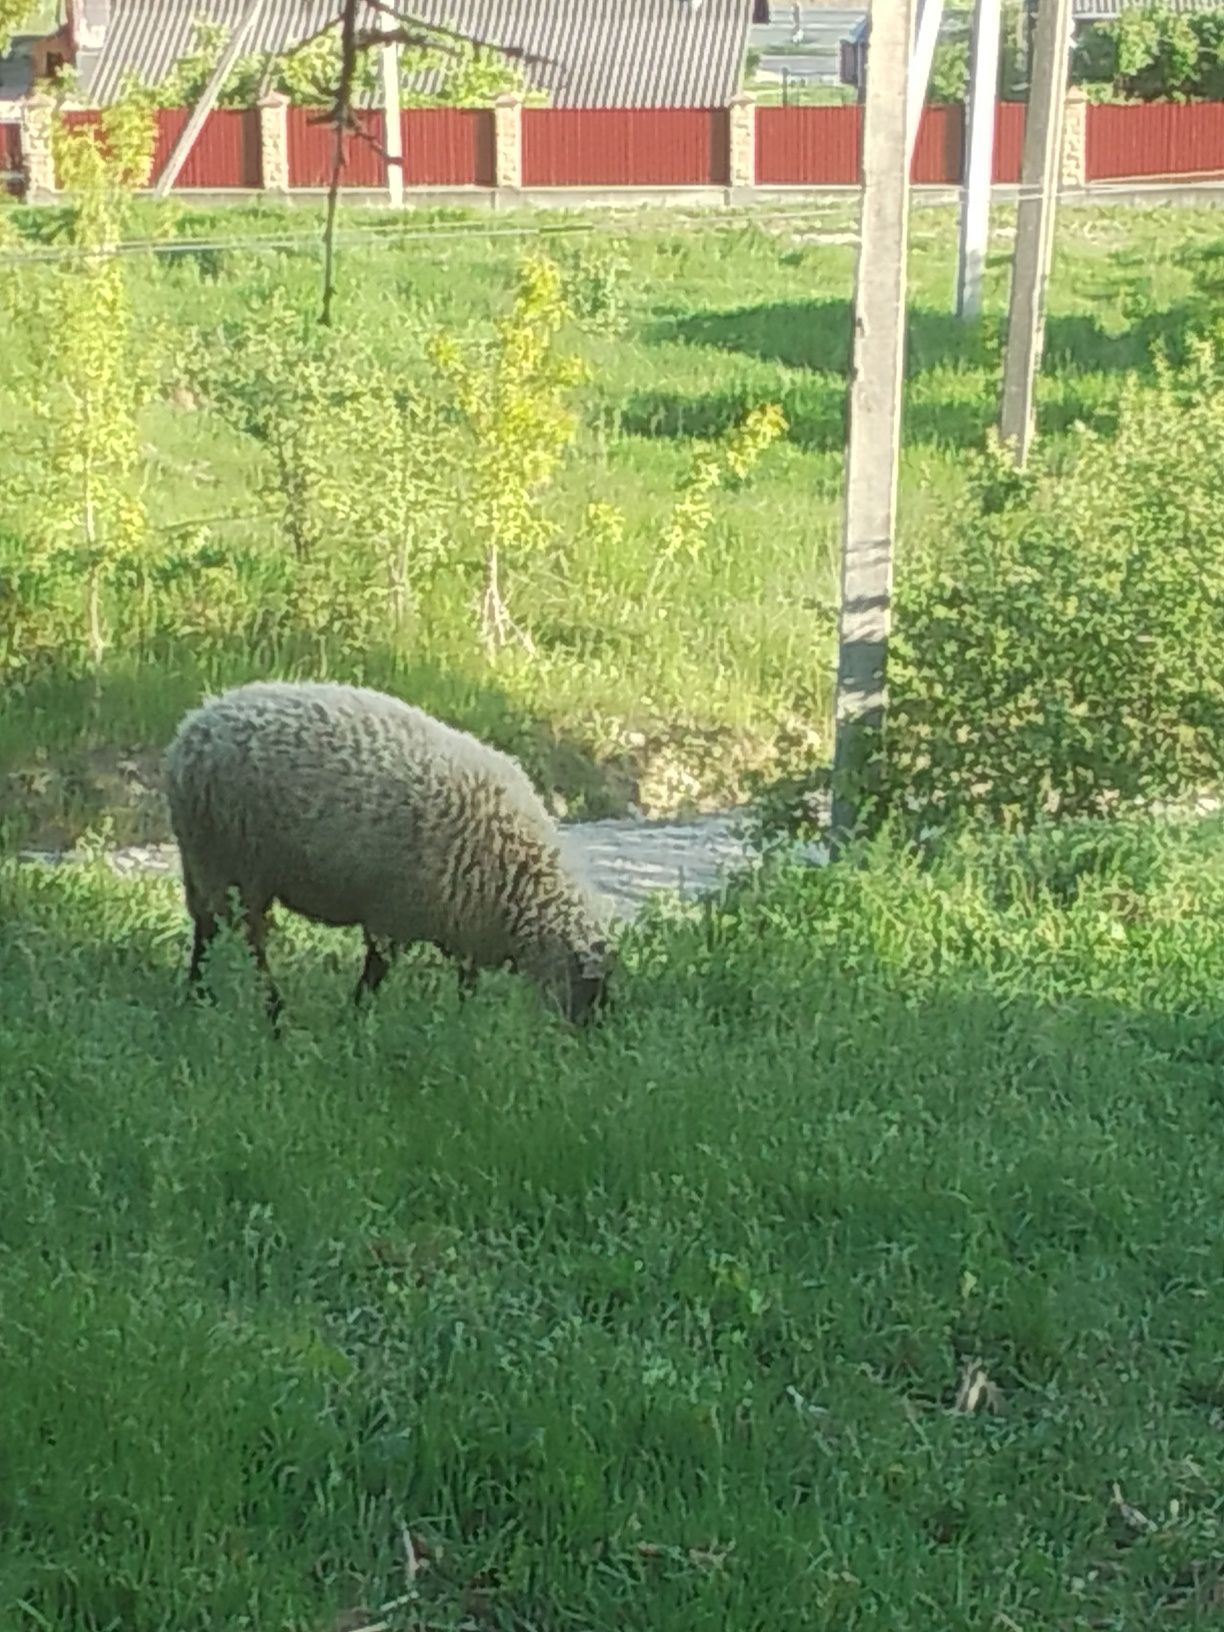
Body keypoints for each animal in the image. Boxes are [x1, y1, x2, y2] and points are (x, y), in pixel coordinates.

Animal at [165, 682, 613, 1024]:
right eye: (589, 989)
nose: (587, 1038)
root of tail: (190, 731)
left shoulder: (465, 924)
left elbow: (466, 981)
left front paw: (463, 1022)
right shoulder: (393, 916)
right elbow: (376, 972)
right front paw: (357, 1018)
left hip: (201, 861)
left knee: (206, 930)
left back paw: (196, 996)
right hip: (232, 865)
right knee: (249, 943)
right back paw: (273, 1011)